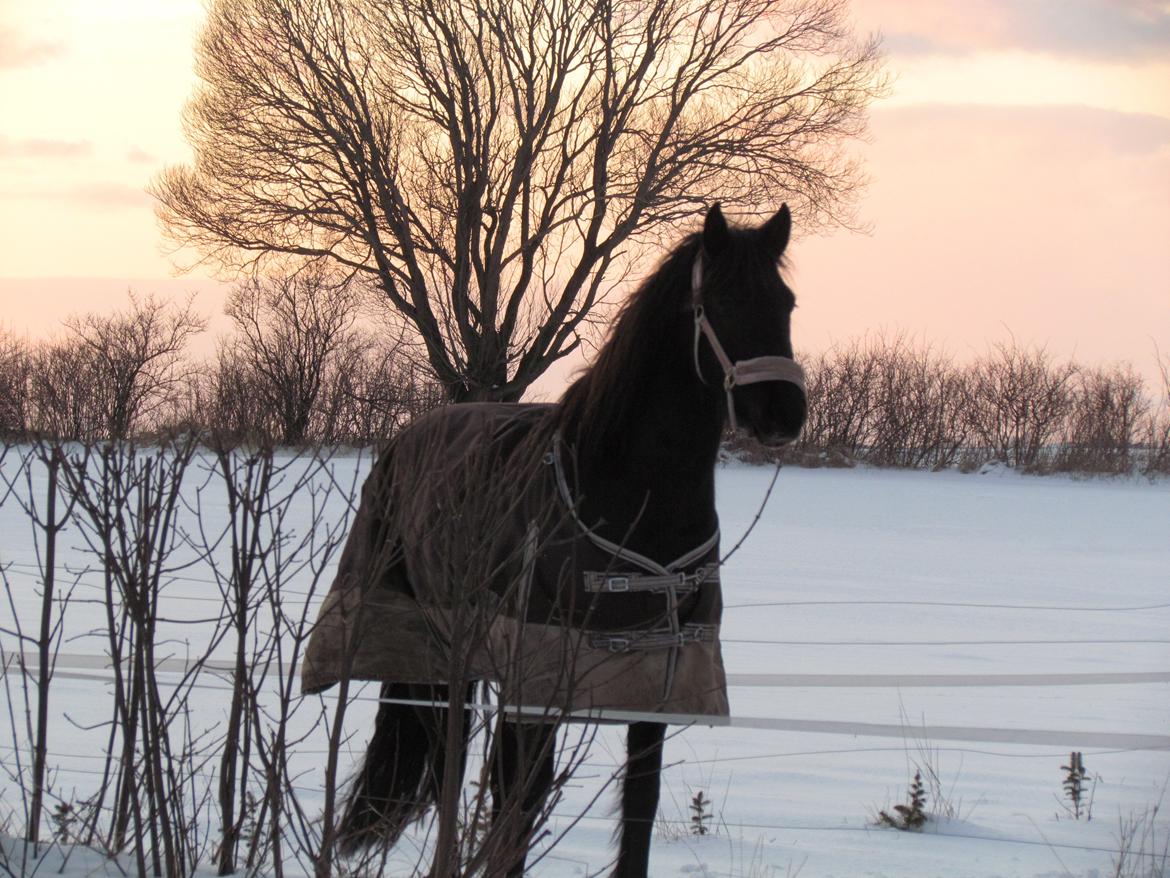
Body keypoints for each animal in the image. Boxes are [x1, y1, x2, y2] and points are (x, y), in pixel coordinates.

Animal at [304, 202, 804, 875]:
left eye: (786, 302)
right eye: (722, 300)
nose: (783, 413)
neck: (627, 492)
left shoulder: (655, 687)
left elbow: (638, 811)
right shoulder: (536, 685)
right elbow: (516, 808)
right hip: (435, 649)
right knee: (451, 766)